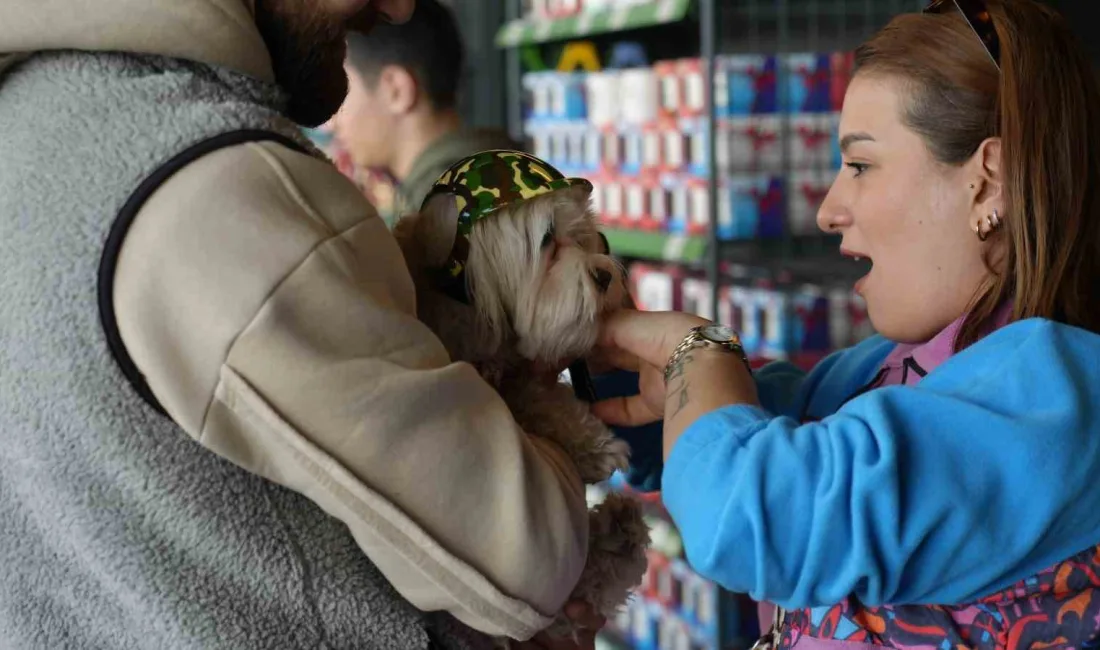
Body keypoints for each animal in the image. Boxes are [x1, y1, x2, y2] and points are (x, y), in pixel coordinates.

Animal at [393, 151, 646, 642]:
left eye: (583, 236)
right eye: (546, 240)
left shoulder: (517, 372)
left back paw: (617, 539)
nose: (605, 275)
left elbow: (537, 396)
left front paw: (590, 444)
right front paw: (595, 447)